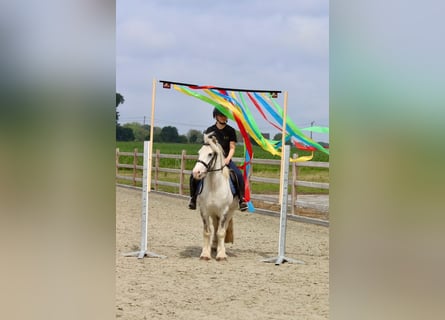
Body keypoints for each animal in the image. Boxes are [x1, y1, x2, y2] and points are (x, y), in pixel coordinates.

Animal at [192, 132, 239, 260]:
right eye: (199, 152)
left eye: (210, 154)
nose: (196, 173)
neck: (214, 186)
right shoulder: (204, 210)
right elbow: (207, 231)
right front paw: (205, 253)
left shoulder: (224, 211)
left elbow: (221, 232)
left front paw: (221, 254)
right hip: (213, 213)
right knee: (215, 226)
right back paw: (213, 246)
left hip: (230, 211)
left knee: (223, 228)